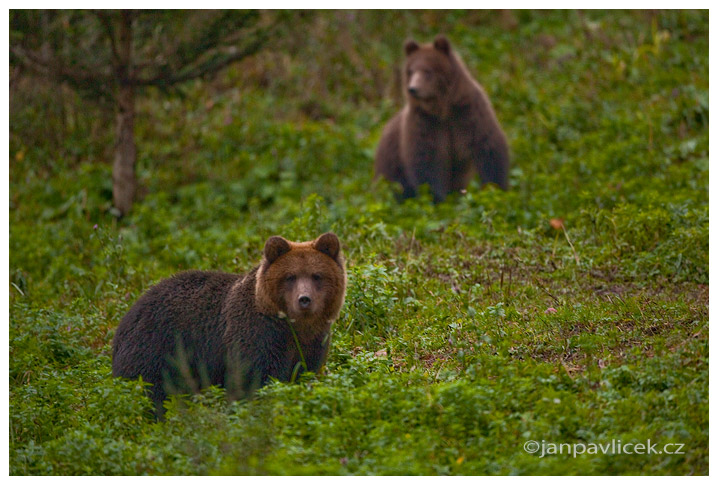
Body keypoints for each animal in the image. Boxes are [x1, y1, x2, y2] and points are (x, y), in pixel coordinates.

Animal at [111, 233, 348, 414]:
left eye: (316, 275)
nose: (304, 300)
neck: (295, 328)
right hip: (156, 349)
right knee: (150, 390)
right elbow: (252, 379)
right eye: (290, 276)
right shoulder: (258, 334)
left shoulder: (314, 341)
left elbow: (305, 372)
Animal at [374, 34, 510, 200]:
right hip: (391, 166)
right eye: (411, 71)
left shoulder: (468, 113)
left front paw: (495, 188)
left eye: (427, 71)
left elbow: (488, 147)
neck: (442, 109)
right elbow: (426, 161)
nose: (413, 89)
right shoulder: (425, 122)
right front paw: (437, 197)